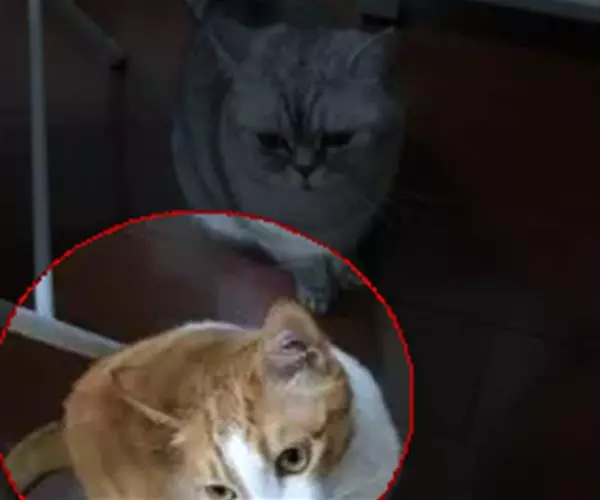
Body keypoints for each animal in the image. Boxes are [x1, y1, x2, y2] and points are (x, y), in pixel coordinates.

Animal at [171, 0, 406, 313]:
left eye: (338, 139)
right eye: (271, 141)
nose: (304, 168)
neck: (319, 214)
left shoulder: (358, 219)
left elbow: (341, 252)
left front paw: (346, 271)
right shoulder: (277, 237)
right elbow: (305, 262)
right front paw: (317, 290)